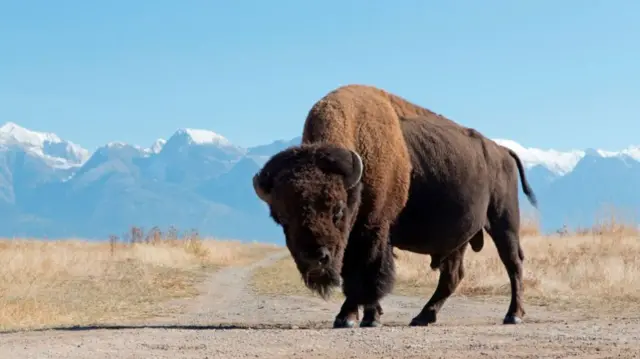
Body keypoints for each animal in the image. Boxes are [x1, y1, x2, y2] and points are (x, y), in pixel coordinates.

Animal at [252, 85, 536, 330]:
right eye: (281, 218)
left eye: (338, 210)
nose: (314, 259)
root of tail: (503, 151)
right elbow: (356, 274)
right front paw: (362, 316)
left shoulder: (372, 230)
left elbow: (366, 273)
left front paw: (354, 318)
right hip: (461, 238)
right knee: (453, 275)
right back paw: (423, 317)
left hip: (504, 222)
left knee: (513, 263)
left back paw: (513, 315)